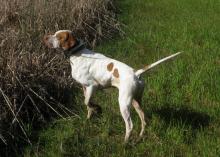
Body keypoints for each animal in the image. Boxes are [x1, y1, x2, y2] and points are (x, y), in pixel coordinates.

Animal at [43, 29, 182, 142]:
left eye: (58, 37)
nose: (45, 37)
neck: (78, 53)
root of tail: (136, 73)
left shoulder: (92, 86)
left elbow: (87, 102)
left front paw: (97, 108)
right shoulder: (85, 88)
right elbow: (87, 104)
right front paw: (90, 115)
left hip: (123, 103)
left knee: (130, 125)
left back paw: (125, 143)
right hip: (136, 101)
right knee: (144, 120)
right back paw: (140, 137)